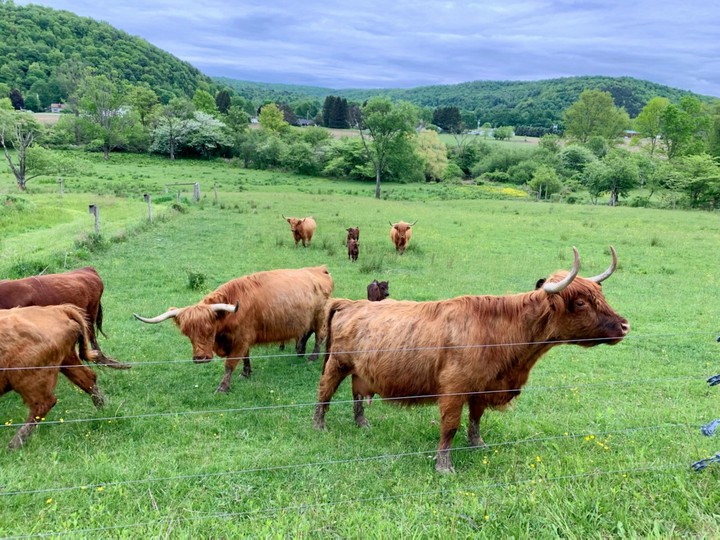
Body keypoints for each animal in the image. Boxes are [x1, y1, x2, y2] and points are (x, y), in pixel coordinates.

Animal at [0, 304, 106, 450]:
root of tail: (56, 309)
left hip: (29, 378)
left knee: (44, 404)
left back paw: (14, 444)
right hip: (68, 360)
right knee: (89, 380)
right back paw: (102, 411)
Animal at [134, 266, 334, 393]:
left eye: (209, 329)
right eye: (187, 334)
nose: (200, 358)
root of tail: (319, 269)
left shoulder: (241, 338)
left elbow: (230, 364)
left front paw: (223, 387)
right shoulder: (242, 340)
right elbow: (245, 357)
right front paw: (246, 373)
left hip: (319, 315)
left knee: (319, 335)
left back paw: (311, 357)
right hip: (307, 318)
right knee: (306, 332)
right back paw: (299, 351)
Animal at [313, 247, 629, 473]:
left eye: (601, 296)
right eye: (581, 303)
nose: (625, 325)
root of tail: (350, 303)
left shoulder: (483, 386)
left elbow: (476, 418)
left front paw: (477, 444)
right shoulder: (455, 388)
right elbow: (450, 425)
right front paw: (444, 466)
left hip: (359, 369)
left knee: (357, 393)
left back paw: (362, 424)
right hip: (337, 363)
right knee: (324, 392)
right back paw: (320, 426)